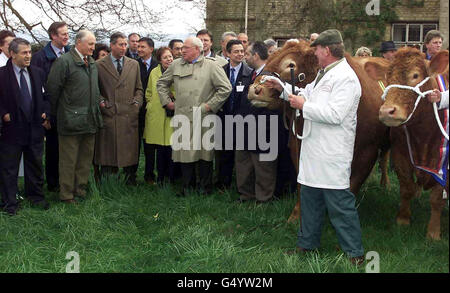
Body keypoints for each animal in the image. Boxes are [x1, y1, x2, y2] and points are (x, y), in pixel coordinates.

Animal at [248, 39, 392, 221]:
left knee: (385, 159)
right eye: (269, 58)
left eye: (290, 65)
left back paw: (385, 185)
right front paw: (297, 215)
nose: (254, 90)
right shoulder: (297, 146)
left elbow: (352, 186)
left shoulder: (367, 152)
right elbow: (301, 182)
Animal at [370, 47, 448, 240]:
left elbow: (437, 198)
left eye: (415, 75)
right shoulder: (401, 154)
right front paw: (403, 219)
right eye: (388, 78)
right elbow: (406, 188)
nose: (387, 111)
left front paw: (433, 233)